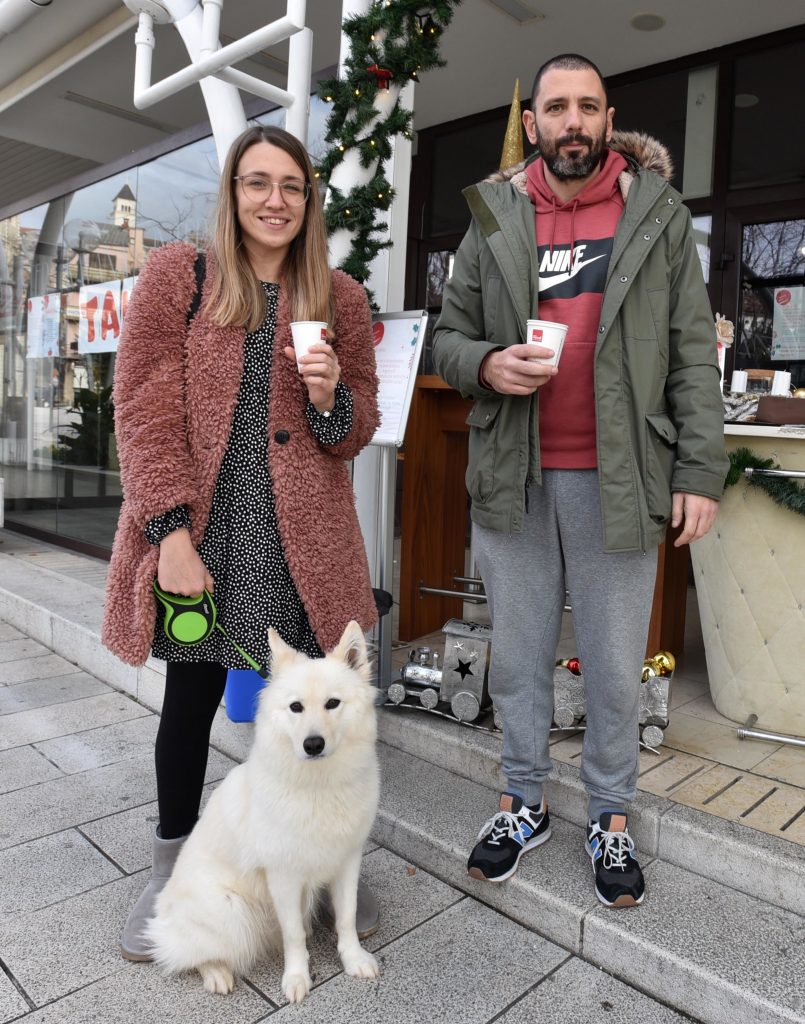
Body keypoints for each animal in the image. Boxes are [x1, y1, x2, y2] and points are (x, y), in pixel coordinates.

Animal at [144, 618, 378, 1003]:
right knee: (192, 953)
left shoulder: (347, 861)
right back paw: (217, 974)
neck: (318, 786)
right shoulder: (283, 875)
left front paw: (353, 958)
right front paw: (297, 977)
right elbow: (293, 934)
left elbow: (346, 916)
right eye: (296, 707)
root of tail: (164, 911)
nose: (313, 744)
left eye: (333, 703)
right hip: (231, 910)